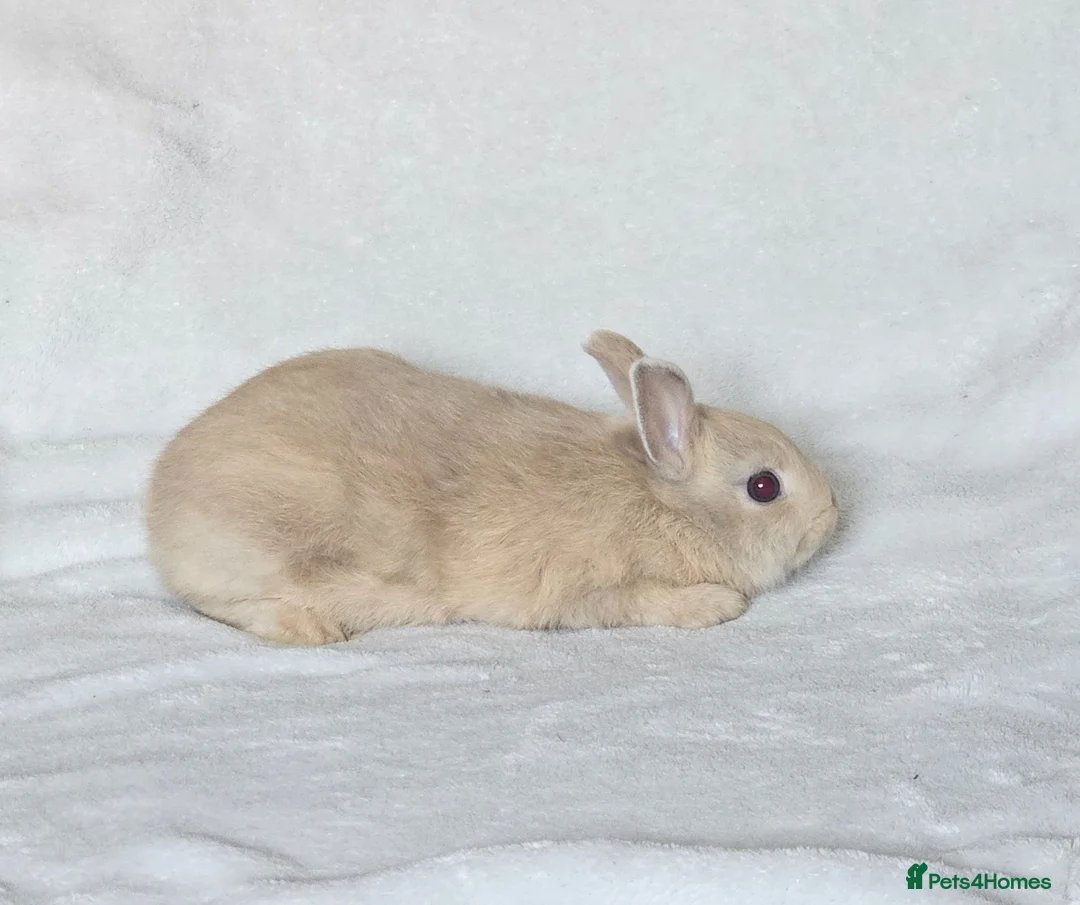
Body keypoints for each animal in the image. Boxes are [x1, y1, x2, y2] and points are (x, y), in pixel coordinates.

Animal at [145, 330, 838, 645]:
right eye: (764, 486)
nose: (833, 515)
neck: (659, 500)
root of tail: (160, 509)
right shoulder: (588, 591)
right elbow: (639, 604)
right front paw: (717, 606)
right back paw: (309, 629)